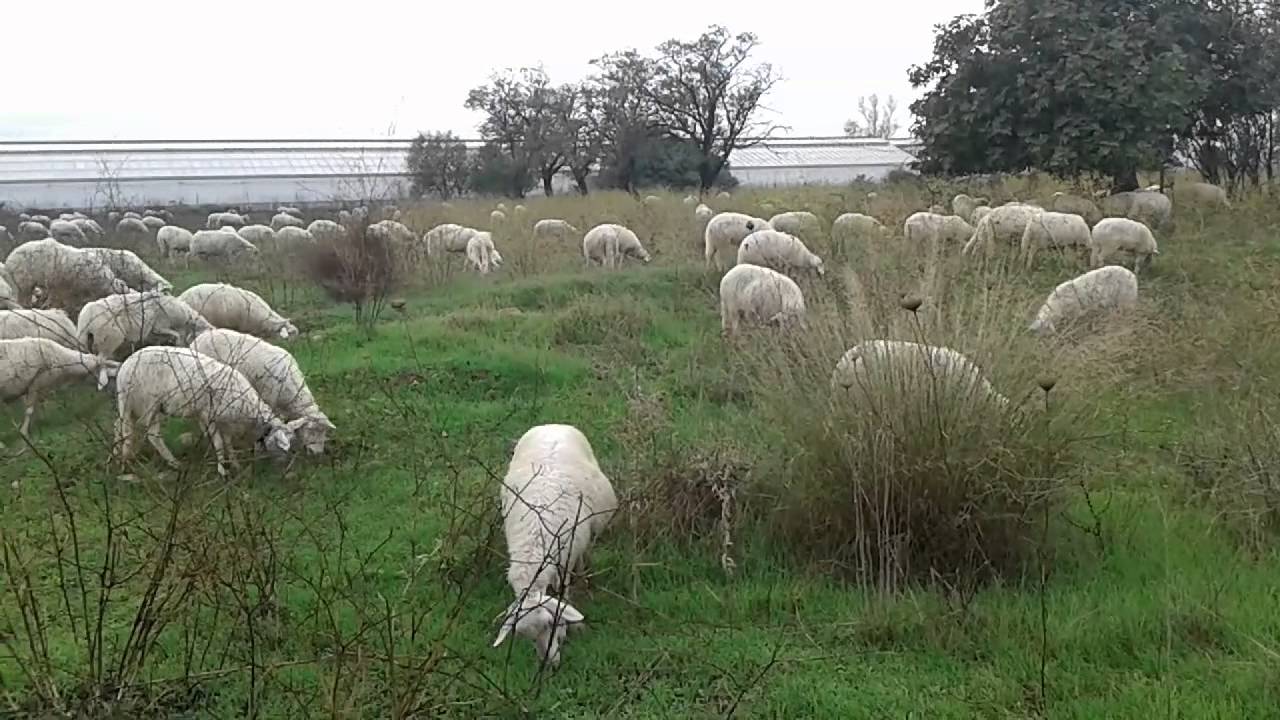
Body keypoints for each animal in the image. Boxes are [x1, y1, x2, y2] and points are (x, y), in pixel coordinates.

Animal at [77, 290, 211, 360]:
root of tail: (86, 317)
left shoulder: (153, 334)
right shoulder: (159, 327)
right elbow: (176, 335)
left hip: (87, 341)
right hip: (111, 338)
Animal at [113, 346, 305, 476]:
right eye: (281, 445)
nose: (284, 466)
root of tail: (124, 369)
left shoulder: (223, 419)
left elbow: (227, 442)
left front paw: (234, 464)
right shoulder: (208, 415)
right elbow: (219, 443)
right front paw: (222, 470)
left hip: (138, 405)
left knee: (120, 426)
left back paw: (119, 455)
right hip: (148, 404)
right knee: (149, 434)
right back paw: (170, 463)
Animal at [190, 328, 335, 455]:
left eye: (323, 432)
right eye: (312, 431)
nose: (317, 453)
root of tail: (198, 338)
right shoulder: (269, 398)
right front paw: (260, 447)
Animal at [493, 424, 618, 668]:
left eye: (552, 623)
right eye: (525, 636)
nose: (548, 664)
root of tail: (553, 425)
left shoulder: (565, 561)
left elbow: (564, 593)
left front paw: (577, 625)